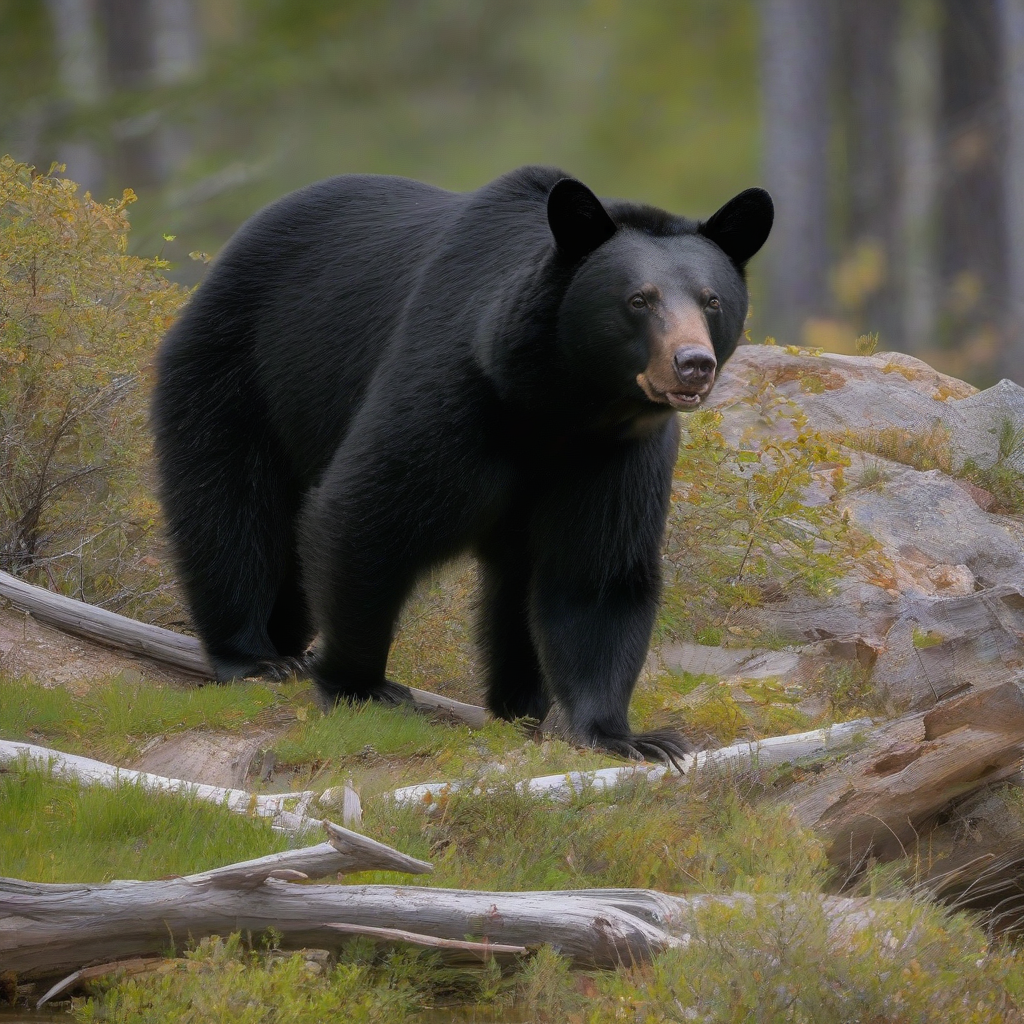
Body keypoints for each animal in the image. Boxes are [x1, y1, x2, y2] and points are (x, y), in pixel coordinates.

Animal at [151, 165, 770, 761]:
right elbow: (369, 514)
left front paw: (625, 736)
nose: (692, 363)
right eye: (639, 299)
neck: (556, 402)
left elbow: (597, 572)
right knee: (229, 505)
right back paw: (254, 654)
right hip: (239, 367)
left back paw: (515, 705)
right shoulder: (456, 393)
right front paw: (362, 684)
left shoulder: (613, 453)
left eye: (711, 300)